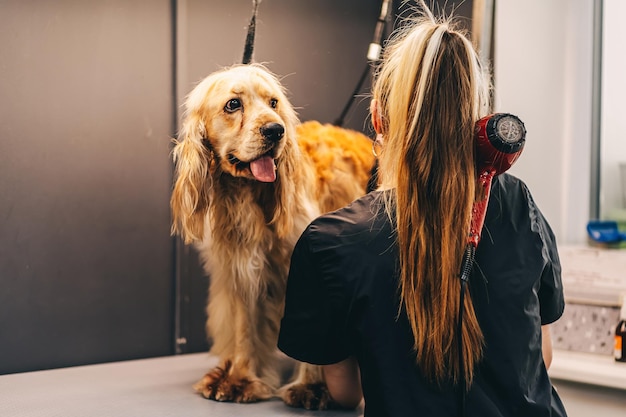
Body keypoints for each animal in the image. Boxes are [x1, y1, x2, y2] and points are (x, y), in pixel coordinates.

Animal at [169, 63, 376, 408]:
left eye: (274, 103)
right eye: (233, 104)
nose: (275, 131)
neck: (246, 197)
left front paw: (312, 387)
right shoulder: (241, 270)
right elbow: (244, 330)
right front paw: (239, 378)